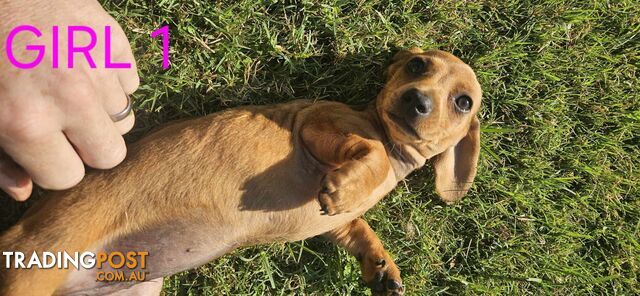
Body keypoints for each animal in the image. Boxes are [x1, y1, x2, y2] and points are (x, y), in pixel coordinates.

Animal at [0, 47, 480, 294]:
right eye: (417, 65)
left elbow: (356, 228)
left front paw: (381, 265)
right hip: (34, 267)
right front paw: (352, 186)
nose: (416, 101)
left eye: (463, 102)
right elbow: (370, 153)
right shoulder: (319, 125)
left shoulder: (334, 223)